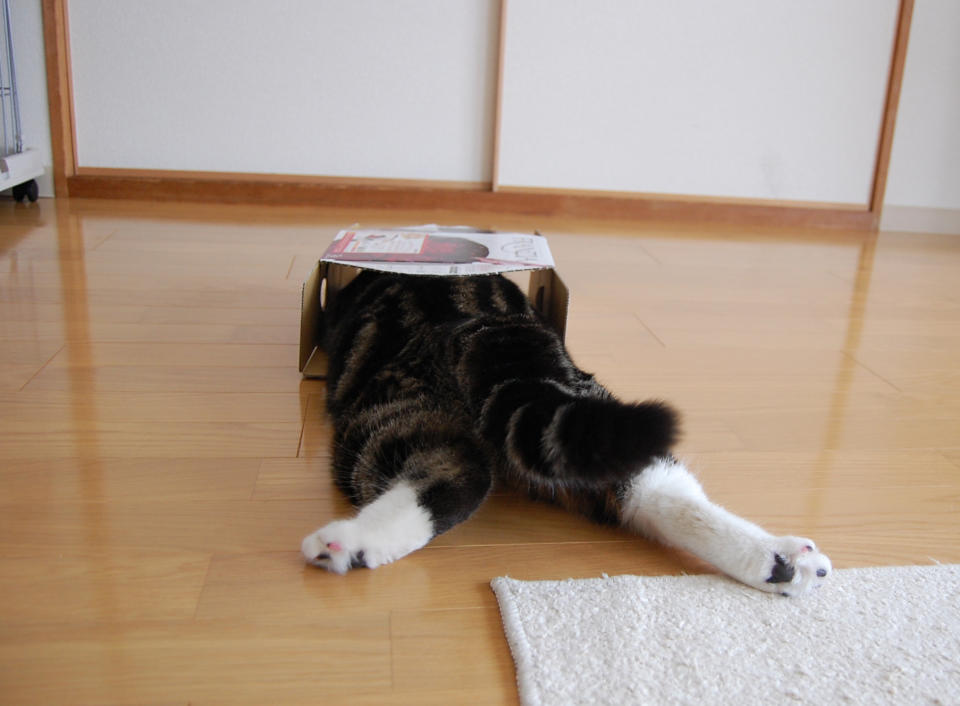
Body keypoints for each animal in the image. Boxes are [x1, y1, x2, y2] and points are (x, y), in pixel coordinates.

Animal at [302, 270, 832, 592]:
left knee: (452, 472)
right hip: (601, 429)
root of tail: (485, 325)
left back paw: (343, 545)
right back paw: (780, 561)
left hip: (385, 410)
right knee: (660, 492)